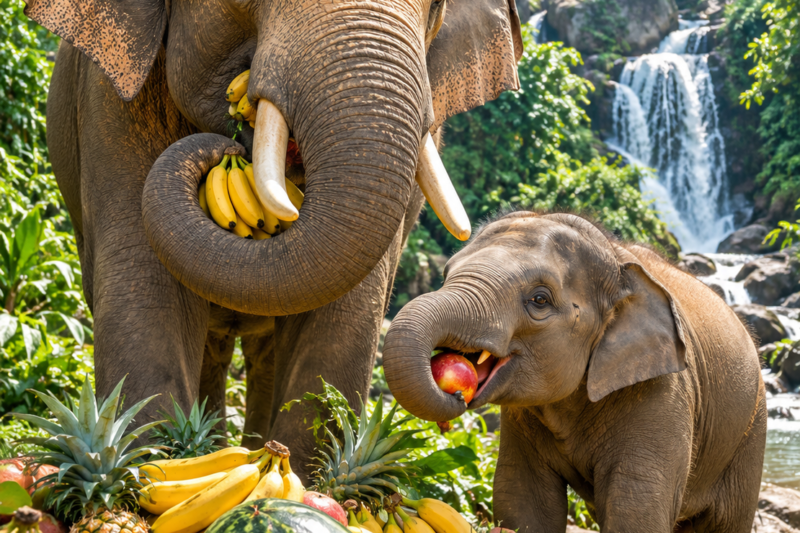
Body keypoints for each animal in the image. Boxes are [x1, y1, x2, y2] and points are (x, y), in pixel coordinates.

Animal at [27, 0, 524, 474]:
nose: (227, 142)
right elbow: (149, 288)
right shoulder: (108, 99)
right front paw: (150, 473)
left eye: (436, 7)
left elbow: (343, 313)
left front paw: (297, 483)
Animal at [383, 212, 767, 533]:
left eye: (539, 300)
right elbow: (523, 499)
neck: (617, 261)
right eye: (445, 275)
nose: (452, 394)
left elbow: (636, 509)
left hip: (749, 433)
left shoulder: (665, 392)